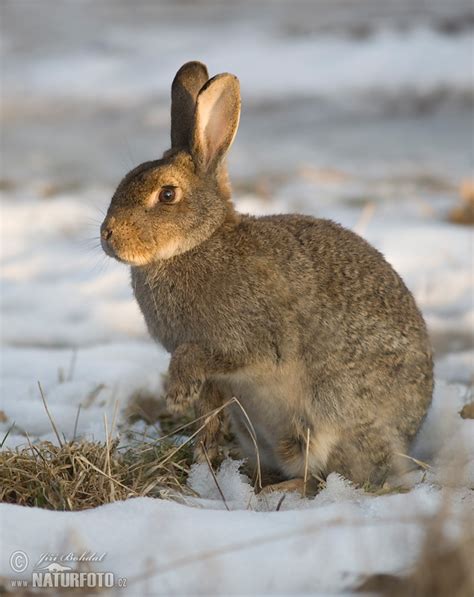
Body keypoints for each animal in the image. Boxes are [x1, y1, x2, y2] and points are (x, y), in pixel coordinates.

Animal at [101, 61, 434, 488]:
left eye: (168, 194)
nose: (107, 234)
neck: (197, 244)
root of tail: (407, 439)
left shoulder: (250, 339)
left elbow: (202, 354)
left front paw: (176, 395)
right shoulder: (217, 382)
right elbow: (207, 415)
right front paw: (203, 460)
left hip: (331, 410)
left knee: (324, 475)